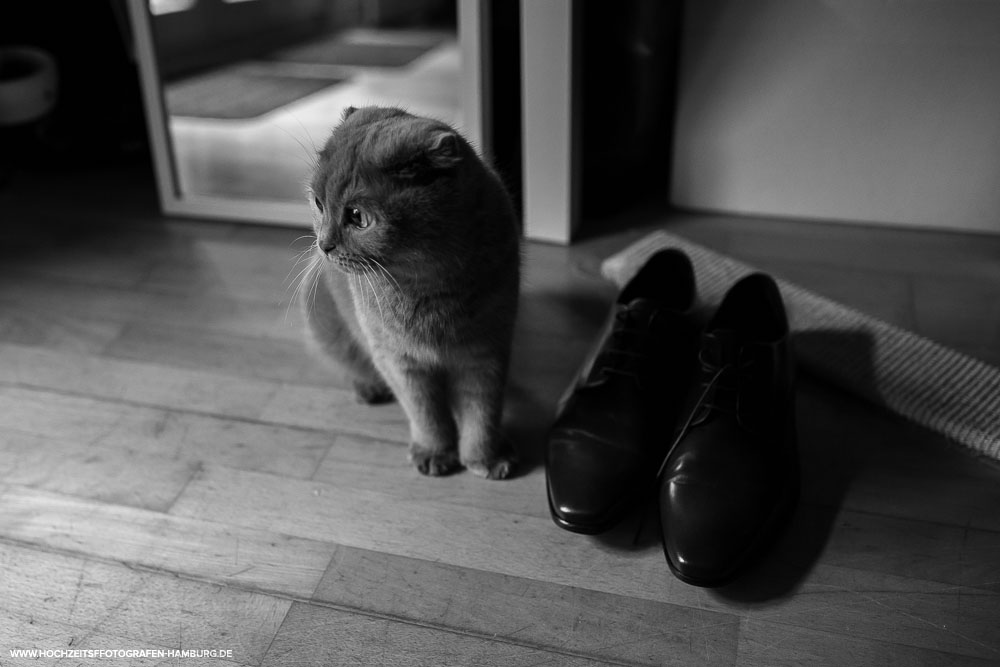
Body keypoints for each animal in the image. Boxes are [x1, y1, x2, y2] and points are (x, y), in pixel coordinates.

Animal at [296, 105, 520, 480]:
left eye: (357, 216)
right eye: (317, 203)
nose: (324, 244)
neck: (428, 287)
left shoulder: (486, 353)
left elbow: (482, 413)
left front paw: (485, 459)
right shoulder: (398, 360)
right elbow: (425, 414)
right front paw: (434, 453)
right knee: (349, 360)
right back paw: (368, 388)